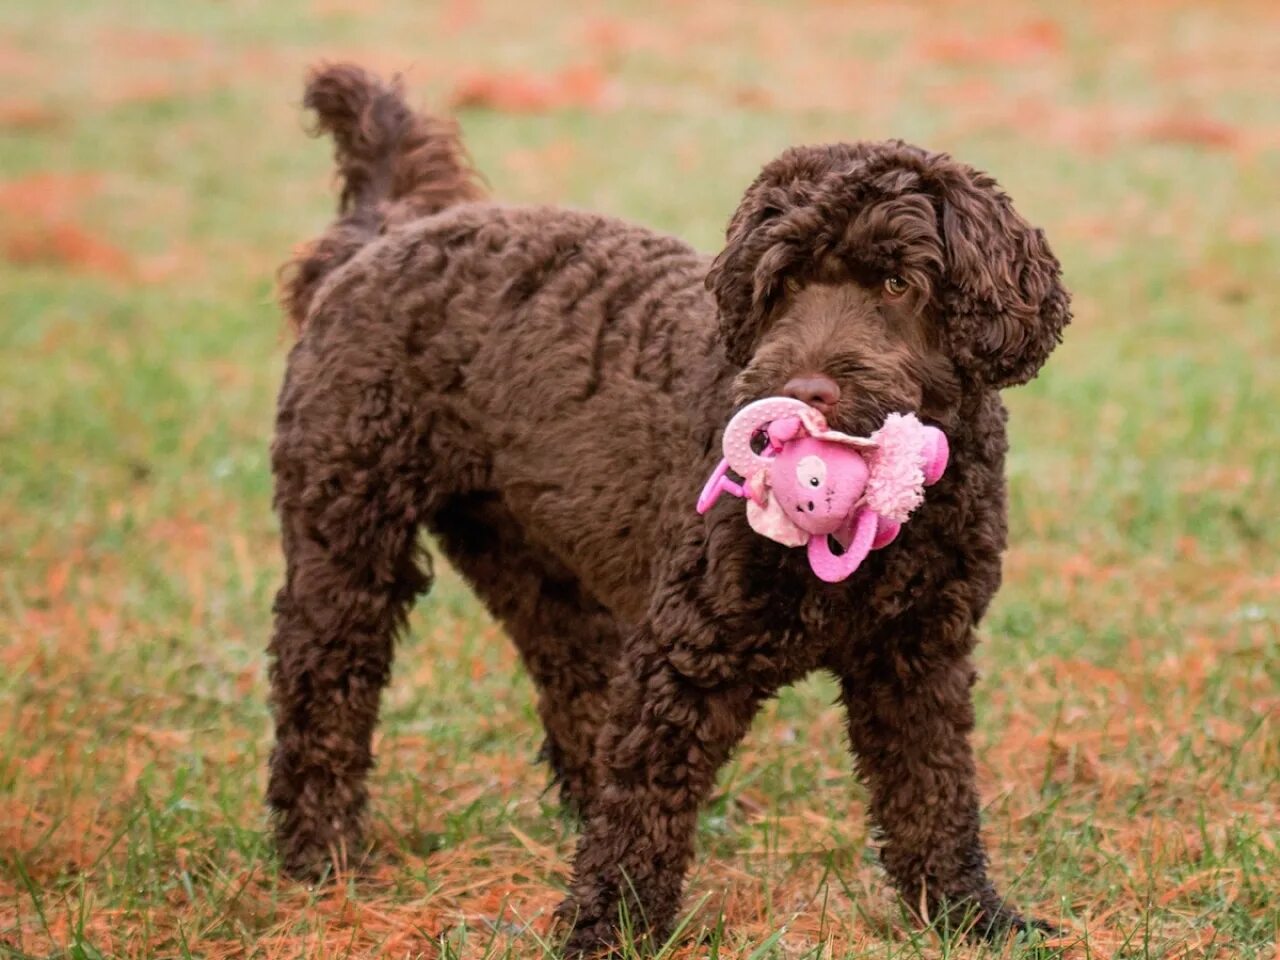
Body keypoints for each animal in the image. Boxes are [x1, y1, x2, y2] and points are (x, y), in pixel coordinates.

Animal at [270, 62, 1070, 957]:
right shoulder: (686, 655)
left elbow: (933, 794)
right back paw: (320, 851)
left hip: (527, 556)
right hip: (348, 536)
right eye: (783, 285)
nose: (802, 391)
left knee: (573, 683)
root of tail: (382, 236)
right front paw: (606, 929)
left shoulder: (917, 657)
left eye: (899, 284)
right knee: (321, 685)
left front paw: (970, 915)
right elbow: (646, 802)